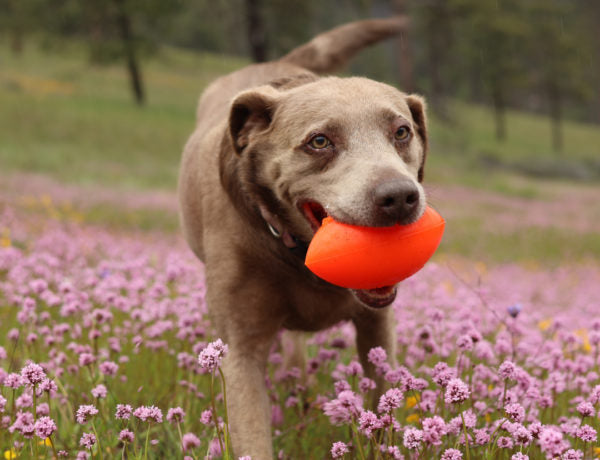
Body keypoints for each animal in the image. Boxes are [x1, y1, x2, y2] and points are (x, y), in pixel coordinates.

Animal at [176, 16, 428, 458]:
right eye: (320, 142)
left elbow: (383, 407)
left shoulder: (377, 325)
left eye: (401, 132)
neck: (299, 254)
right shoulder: (240, 351)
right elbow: (251, 433)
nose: (399, 197)